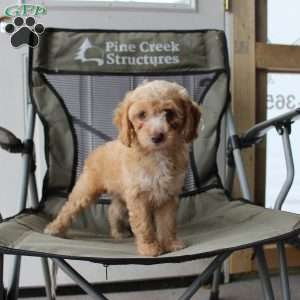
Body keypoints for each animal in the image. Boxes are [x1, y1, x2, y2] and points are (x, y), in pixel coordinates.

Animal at [45, 79, 202, 255]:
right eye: (142, 115)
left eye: (169, 113)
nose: (157, 137)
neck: (156, 154)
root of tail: (97, 150)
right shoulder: (138, 197)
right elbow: (144, 225)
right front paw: (149, 248)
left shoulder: (168, 196)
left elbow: (167, 222)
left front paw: (170, 244)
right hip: (86, 188)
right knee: (69, 207)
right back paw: (54, 228)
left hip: (121, 197)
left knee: (113, 211)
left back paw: (118, 232)